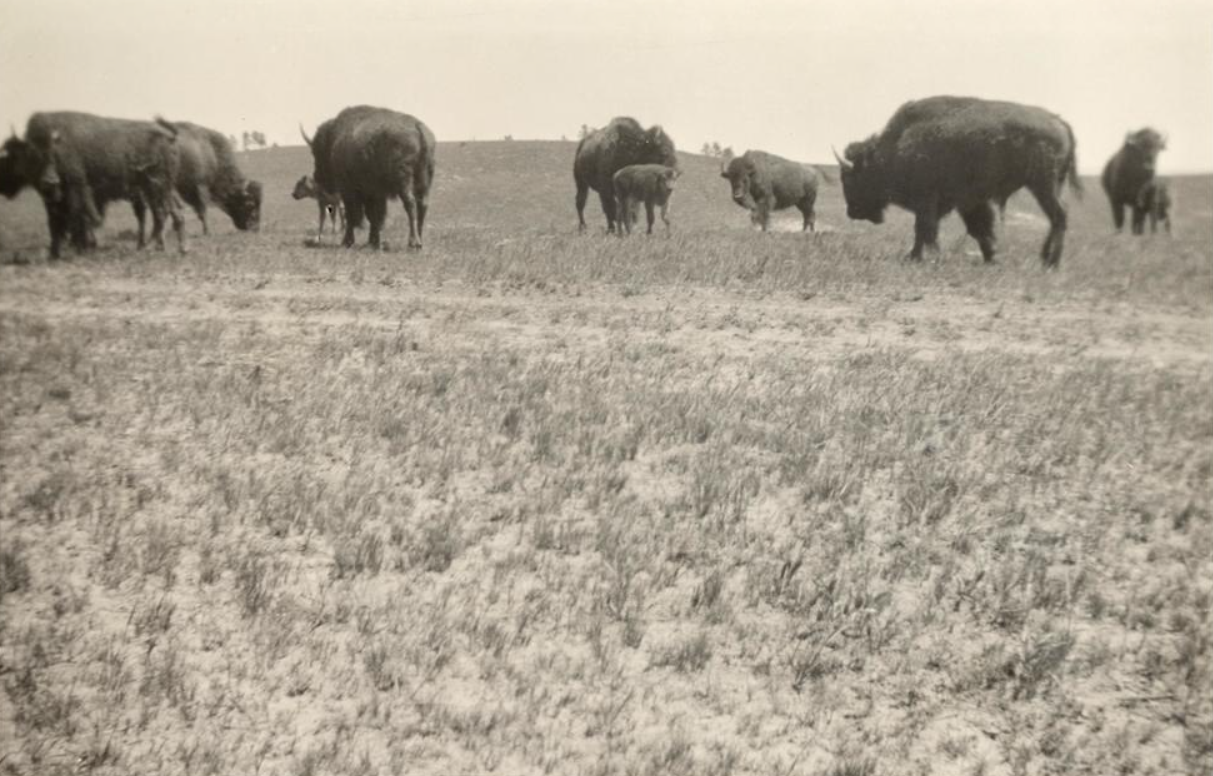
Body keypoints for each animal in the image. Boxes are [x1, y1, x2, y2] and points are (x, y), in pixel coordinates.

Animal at [301, 106, 435, 249]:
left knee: (410, 204)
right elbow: (374, 216)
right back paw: (420, 240)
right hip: (424, 179)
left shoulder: (349, 190)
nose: (317, 176)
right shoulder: (375, 193)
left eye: (316, 151)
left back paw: (413, 242)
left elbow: (353, 215)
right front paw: (373, 242)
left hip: (404, 180)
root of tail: (418, 128)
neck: (334, 139)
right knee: (422, 205)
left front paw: (347, 241)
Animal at [835, 95, 1081, 267]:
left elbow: (924, 229)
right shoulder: (967, 202)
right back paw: (1046, 259)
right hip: (1051, 186)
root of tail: (1058, 121)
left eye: (851, 177)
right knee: (1059, 218)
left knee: (1059, 217)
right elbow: (978, 229)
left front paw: (920, 257)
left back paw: (1051, 262)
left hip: (1043, 186)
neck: (896, 145)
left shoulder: (928, 200)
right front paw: (991, 257)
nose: (852, 212)